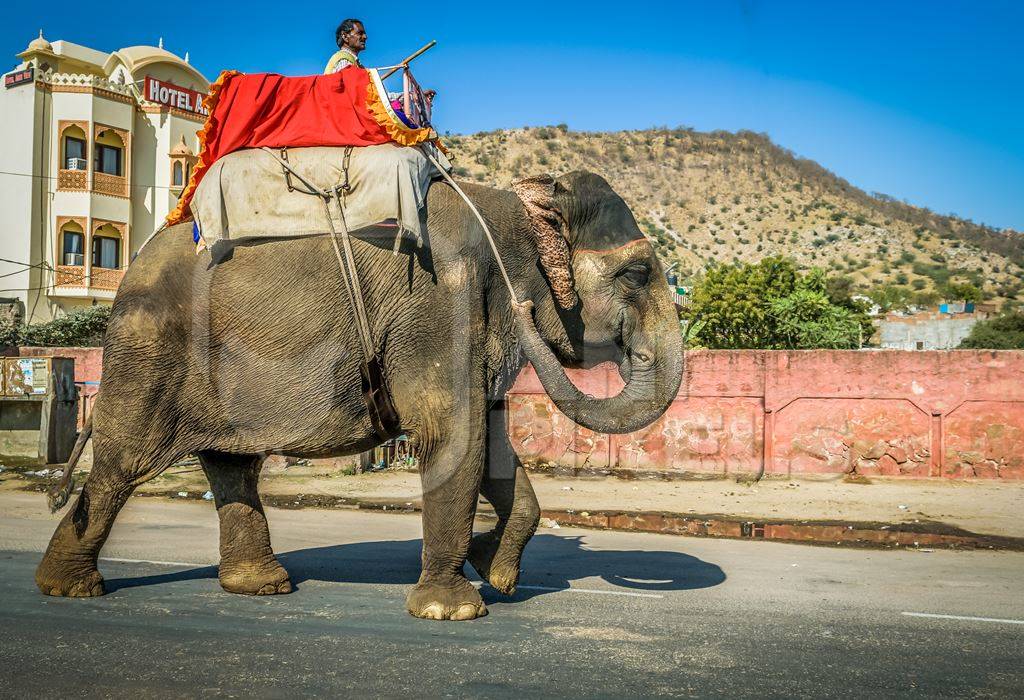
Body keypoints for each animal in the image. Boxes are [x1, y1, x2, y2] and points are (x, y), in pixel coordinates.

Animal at [36, 171, 684, 622]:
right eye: (636, 274)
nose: (527, 312)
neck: (512, 213)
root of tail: (130, 270)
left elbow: (491, 444)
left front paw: (495, 573)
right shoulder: (439, 306)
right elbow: (455, 437)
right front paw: (452, 610)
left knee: (231, 464)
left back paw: (261, 586)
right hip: (148, 356)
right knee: (123, 463)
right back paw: (68, 589)